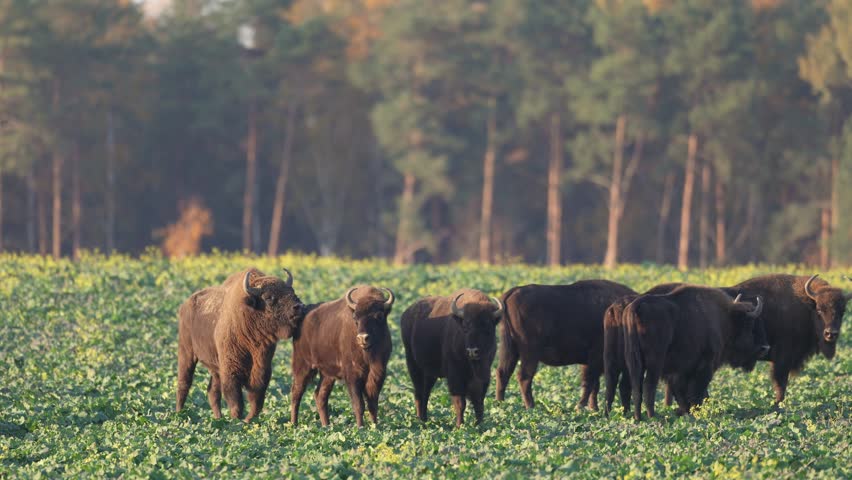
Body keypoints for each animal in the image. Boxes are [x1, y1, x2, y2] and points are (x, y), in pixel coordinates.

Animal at [176, 268, 306, 422]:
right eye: (268, 297)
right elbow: (236, 402)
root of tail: (186, 305)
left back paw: (218, 418)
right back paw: (178, 414)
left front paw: (247, 420)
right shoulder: (231, 371)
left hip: (215, 368)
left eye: (292, 291)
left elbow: (256, 401)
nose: (298, 307)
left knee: (212, 392)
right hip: (186, 353)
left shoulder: (262, 370)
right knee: (184, 384)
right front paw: (237, 421)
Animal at [290, 285, 394, 427]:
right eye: (355, 318)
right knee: (296, 393)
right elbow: (359, 404)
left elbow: (373, 403)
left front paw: (375, 426)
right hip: (303, 367)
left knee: (320, 396)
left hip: (327, 375)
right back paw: (294, 424)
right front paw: (360, 427)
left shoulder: (378, 373)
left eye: (379, 316)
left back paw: (326, 425)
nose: (362, 338)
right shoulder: (352, 375)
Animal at [401, 289, 503, 427]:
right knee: (419, 392)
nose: (472, 351)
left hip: (429, 373)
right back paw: (421, 420)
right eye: (465, 328)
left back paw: (425, 419)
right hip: (413, 365)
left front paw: (479, 424)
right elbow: (460, 403)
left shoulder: (484, 375)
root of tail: (407, 313)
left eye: (488, 329)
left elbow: (479, 402)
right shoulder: (455, 376)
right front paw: (460, 426)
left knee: (425, 393)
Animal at [497, 280, 636, 410]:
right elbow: (590, 383)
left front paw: (593, 408)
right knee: (524, 377)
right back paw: (531, 406)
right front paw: (581, 406)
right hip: (529, 353)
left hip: (510, 349)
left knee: (503, 373)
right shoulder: (595, 359)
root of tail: (511, 292)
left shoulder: (591, 362)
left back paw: (500, 403)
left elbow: (593, 384)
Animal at [624, 285, 765, 420]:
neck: (725, 318)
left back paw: (638, 418)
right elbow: (697, 391)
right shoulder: (705, 366)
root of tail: (637, 306)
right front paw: (694, 411)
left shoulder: (681, 371)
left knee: (636, 388)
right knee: (649, 386)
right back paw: (652, 416)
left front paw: (687, 412)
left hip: (634, 361)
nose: (765, 347)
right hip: (655, 363)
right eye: (749, 325)